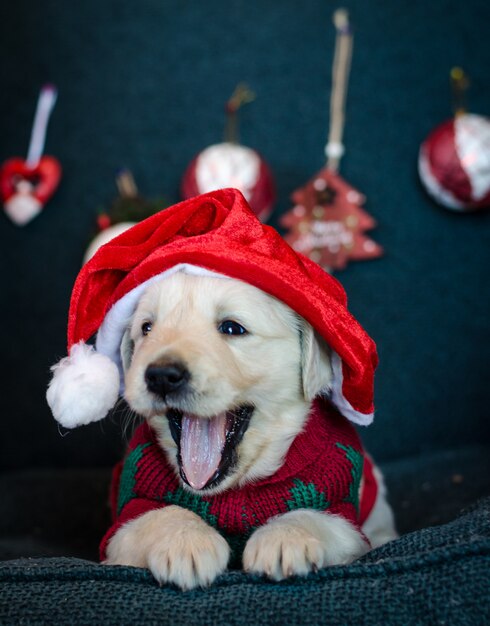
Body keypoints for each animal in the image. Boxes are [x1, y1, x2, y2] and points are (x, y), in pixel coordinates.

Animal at [104, 270, 398, 588]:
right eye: (147, 328)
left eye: (232, 328)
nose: (161, 376)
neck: (235, 487)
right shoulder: (126, 517)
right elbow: (157, 514)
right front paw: (185, 540)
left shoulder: (344, 519)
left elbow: (313, 516)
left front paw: (285, 539)